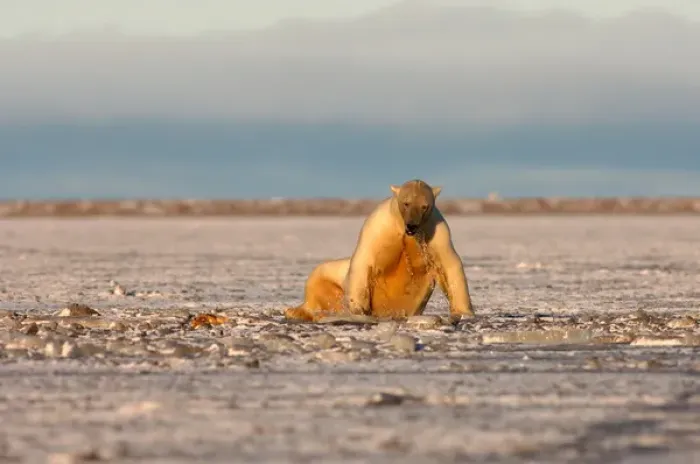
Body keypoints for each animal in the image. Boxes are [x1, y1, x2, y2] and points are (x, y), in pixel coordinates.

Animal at [284, 179, 475, 323]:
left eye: (424, 206)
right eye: (406, 203)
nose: (412, 225)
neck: (402, 227)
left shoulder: (436, 231)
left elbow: (449, 264)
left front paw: (464, 313)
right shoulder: (380, 226)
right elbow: (364, 260)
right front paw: (359, 310)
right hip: (325, 277)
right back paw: (297, 311)